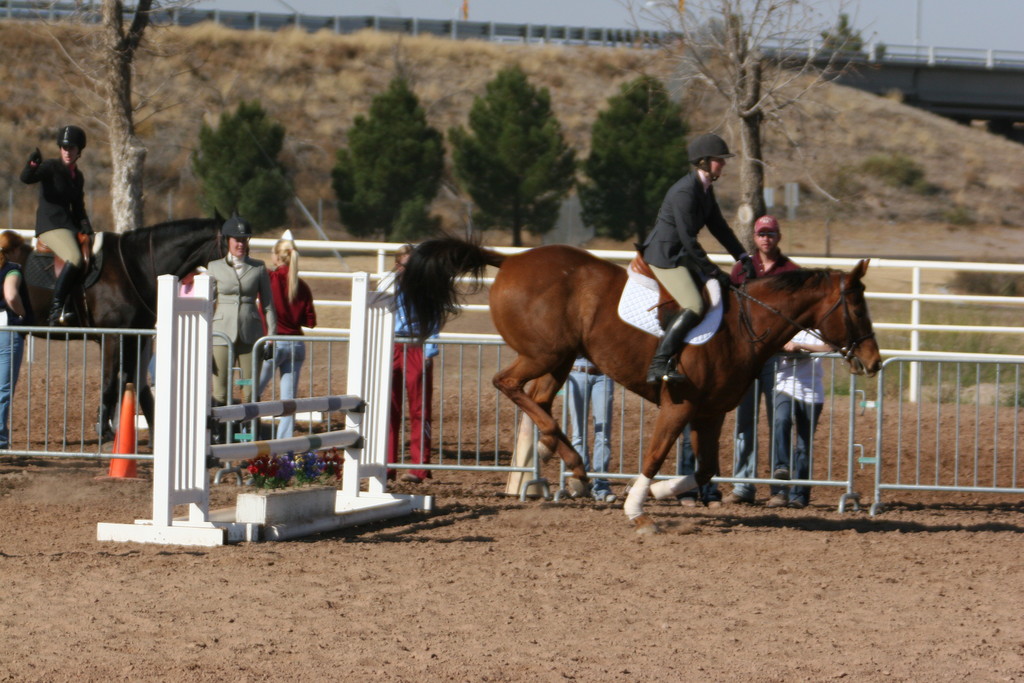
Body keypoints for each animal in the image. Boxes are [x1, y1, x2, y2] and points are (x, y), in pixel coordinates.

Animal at [11, 220, 223, 444]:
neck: (135, 267)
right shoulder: (112, 337)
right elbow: (110, 381)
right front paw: (103, 429)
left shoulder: (133, 336)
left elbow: (127, 380)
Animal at [397, 237, 880, 532]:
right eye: (857, 308)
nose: (874, 362)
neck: (743, 328)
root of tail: (513, 259)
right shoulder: (678, 406)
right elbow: (656, 454)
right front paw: (637, 507)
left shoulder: (709, 414)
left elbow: (704, 469)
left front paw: (662, 492)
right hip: (545, 354)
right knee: (507, 383)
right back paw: (572, 463)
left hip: (560, 358)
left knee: (538, 399)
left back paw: (569, 464)